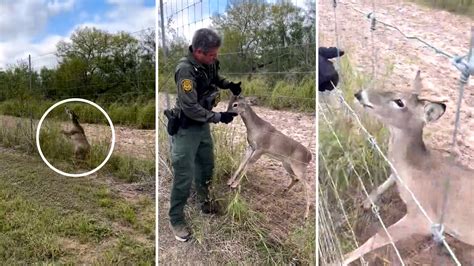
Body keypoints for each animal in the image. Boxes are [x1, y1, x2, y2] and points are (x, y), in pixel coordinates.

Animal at [344, 71, 474, 264]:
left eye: (400, 102)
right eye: (395, 89)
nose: (360, 94)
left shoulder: (425, 218)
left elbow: (380, 236)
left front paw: (339, 259)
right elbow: (390, 176)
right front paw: (367, 202)